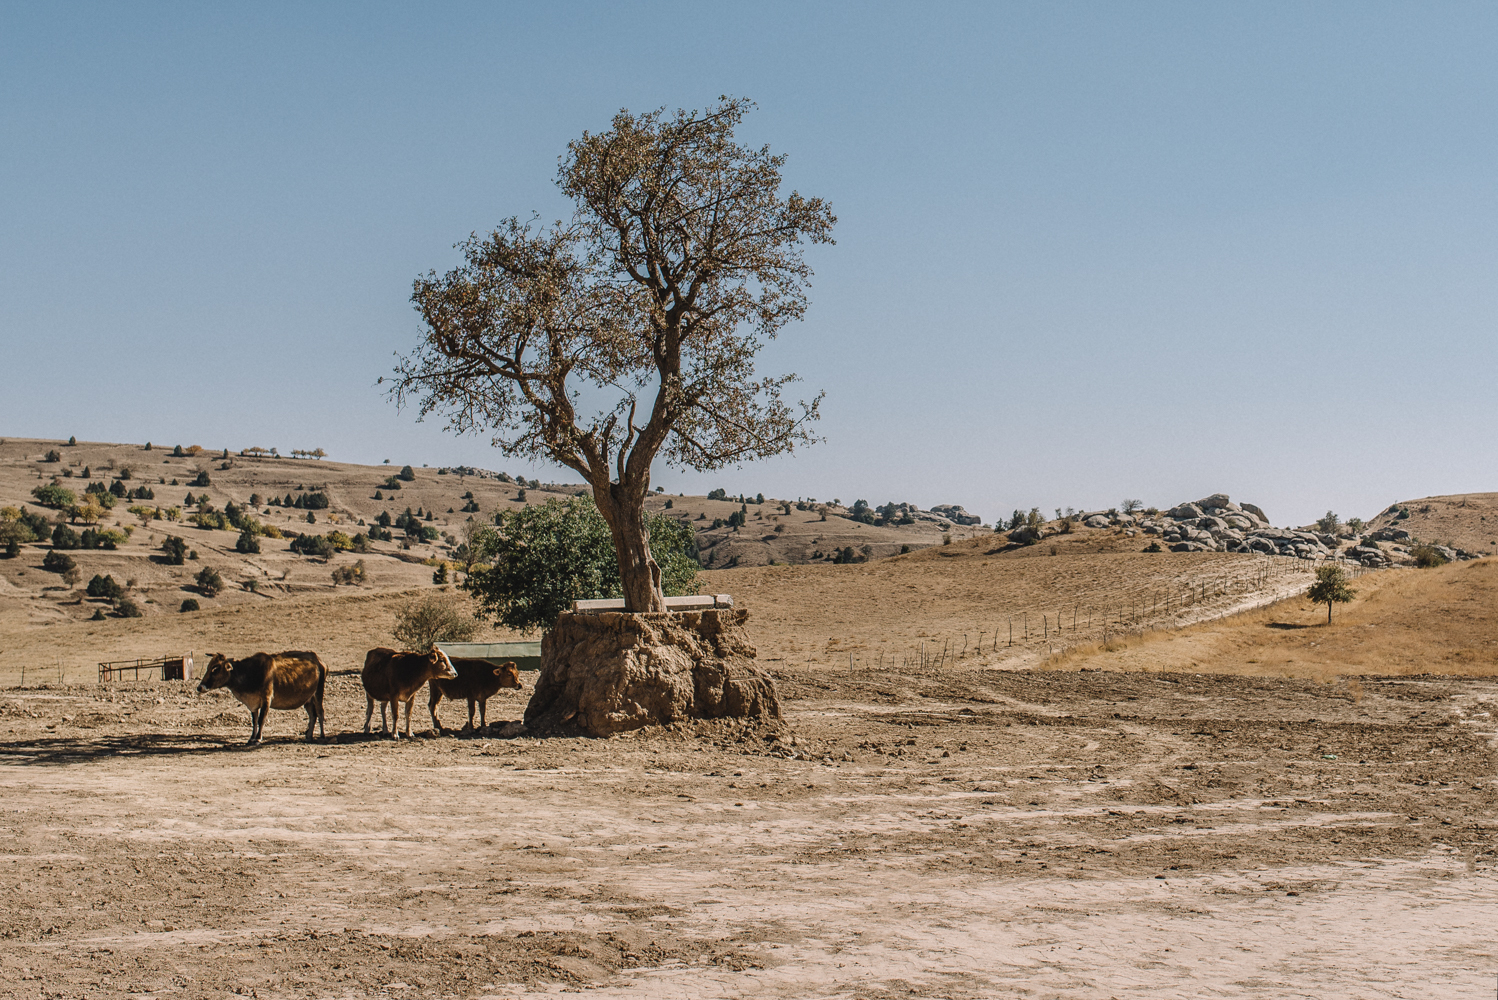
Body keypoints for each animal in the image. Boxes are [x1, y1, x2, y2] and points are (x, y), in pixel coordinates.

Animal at [196, 652, 328, 745]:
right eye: (208, 667)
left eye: (215, 668)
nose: (199, 687)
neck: (250, 673)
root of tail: (318, 660)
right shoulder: (253, 704)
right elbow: (254, 721)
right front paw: (251, 738)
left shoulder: (266, 699)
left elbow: (261, 720)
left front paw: (258, 738)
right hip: (308, 700)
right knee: (313, 715)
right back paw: (309, 736)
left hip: (318, 692)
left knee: (320, 712)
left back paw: (322, 735)